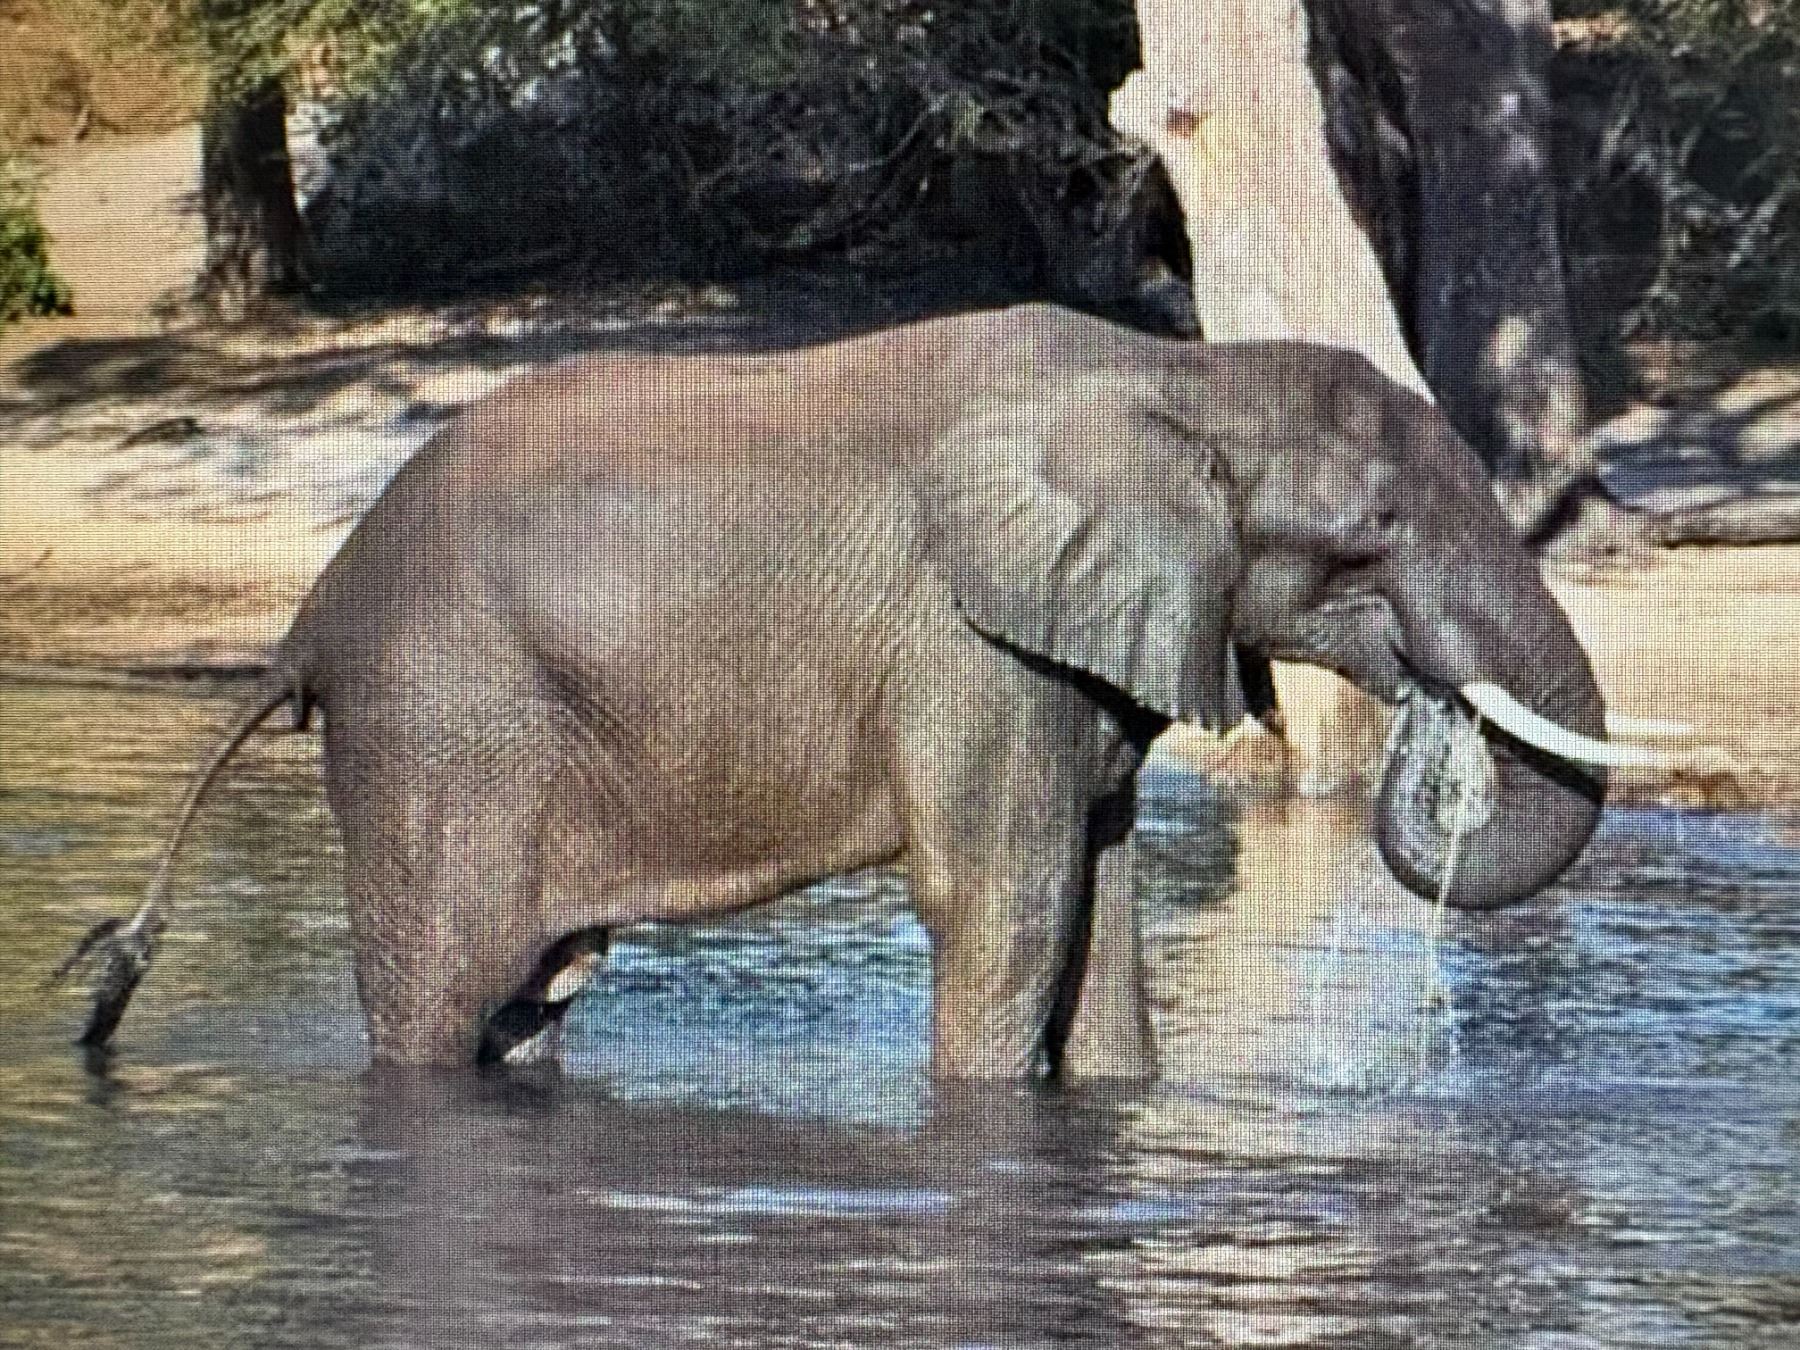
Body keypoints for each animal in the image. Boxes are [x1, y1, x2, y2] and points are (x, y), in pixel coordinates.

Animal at [55, 304, 1659, 1078]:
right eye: (1375, 529)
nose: (1433, 714)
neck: (1179, 371)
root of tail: (307, 623)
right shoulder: (969, 641)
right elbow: (1011, 909)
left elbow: (1100, 913)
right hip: (439, 729)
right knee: (446, 995)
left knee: (535, 991)